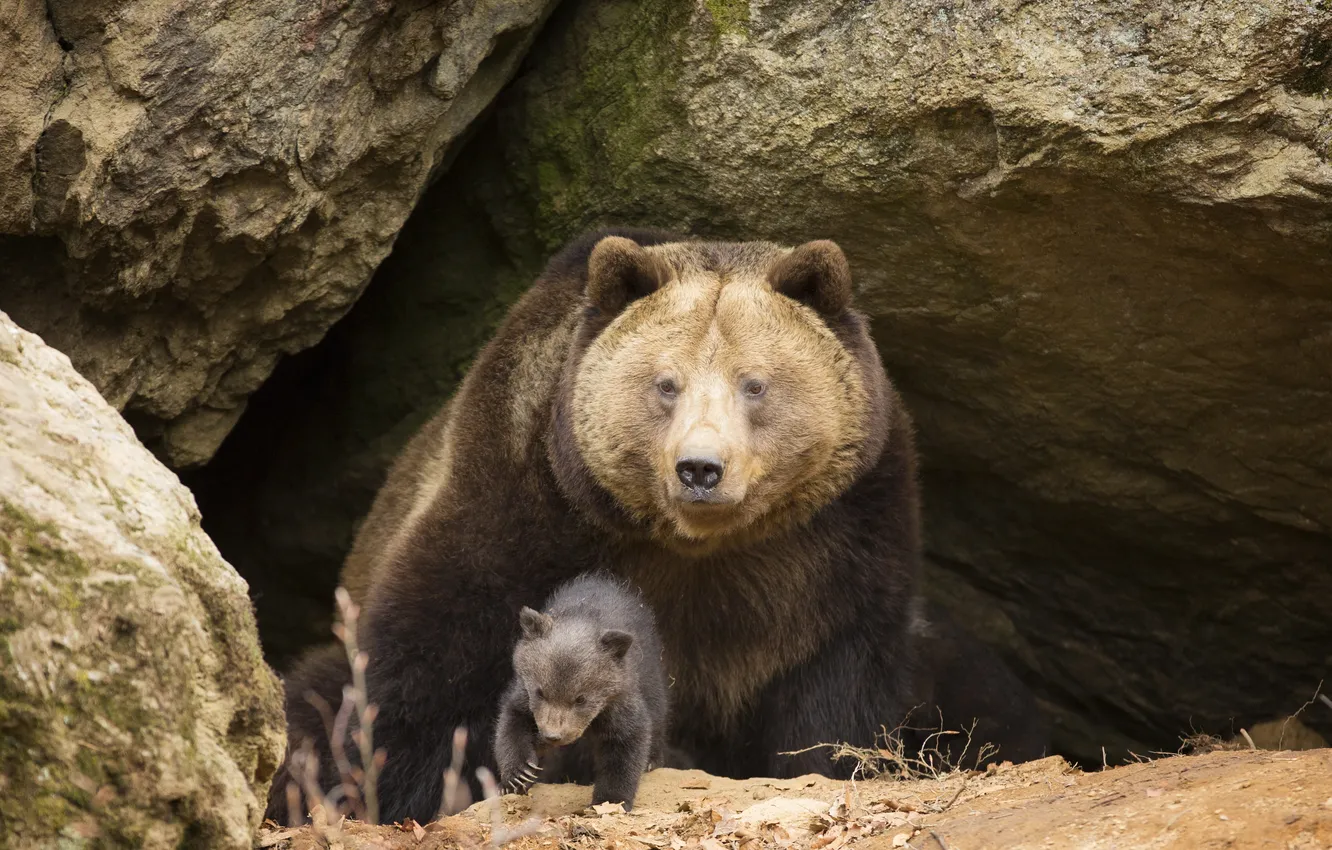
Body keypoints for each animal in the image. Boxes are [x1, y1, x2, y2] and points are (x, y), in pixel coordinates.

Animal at [494, 573, 668, 810]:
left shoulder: (618, 701)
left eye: (580, 699)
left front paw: (611, 799)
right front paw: (518, 775)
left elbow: (627, 742)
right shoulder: (524, 695)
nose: (552, 736)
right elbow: (512, 723)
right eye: (541, 692)